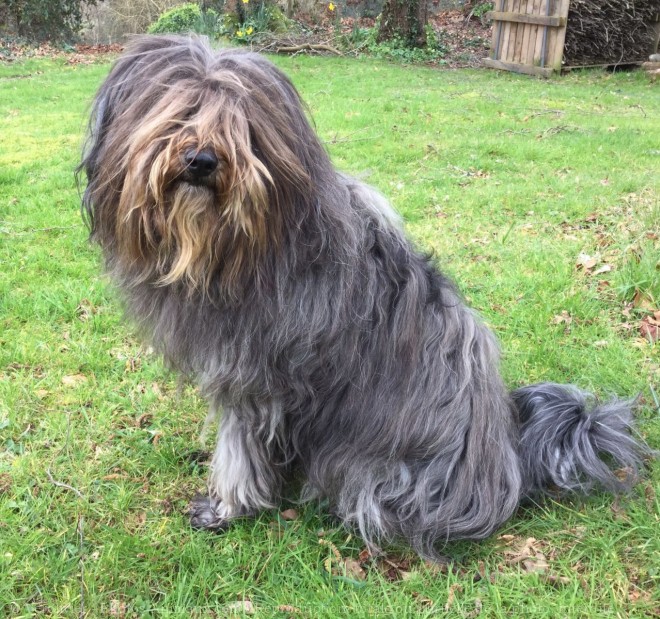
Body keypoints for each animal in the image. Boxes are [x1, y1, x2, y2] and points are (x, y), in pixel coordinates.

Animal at [80, 35, 648, 556]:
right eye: (179, 111)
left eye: (239, 125)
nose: (201, 160)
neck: (239, 245)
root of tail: (508, 462)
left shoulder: (256, 379)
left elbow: (238, 451)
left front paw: (226, 507)